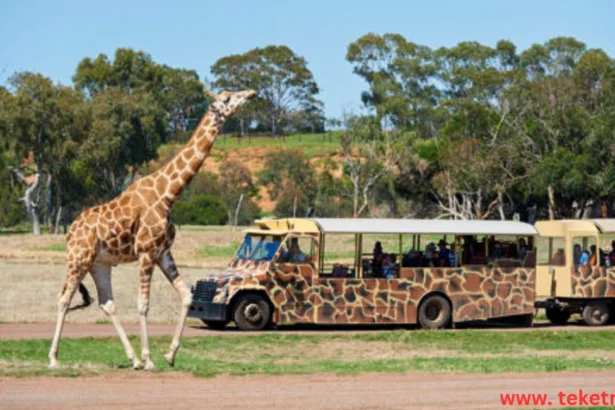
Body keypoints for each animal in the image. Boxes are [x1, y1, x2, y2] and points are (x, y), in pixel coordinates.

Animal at [48, 88, 258, 370]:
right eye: (226, 98)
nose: (251, 93)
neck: (168, 194)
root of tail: (70, 231)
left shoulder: (163, 252)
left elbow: (187, 295)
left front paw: (170, 354)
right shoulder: (146, 251)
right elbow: (143, 304)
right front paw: (150, 359)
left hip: (99, 263)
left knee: (106, 303)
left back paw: (132, 358)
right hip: (78, 259)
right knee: (63, 298)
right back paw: (54, 358)